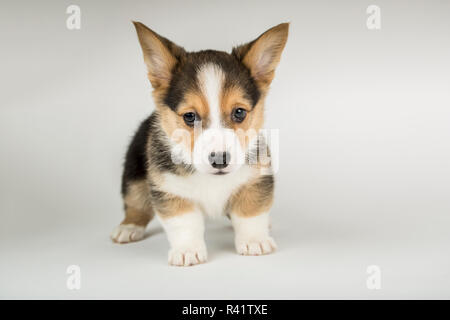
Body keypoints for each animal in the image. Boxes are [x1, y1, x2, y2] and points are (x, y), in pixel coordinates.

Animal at [110, 20, 290, 264]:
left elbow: (250, 212)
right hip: (133, 173)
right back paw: (128, 227)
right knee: (135, 202)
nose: (220, 160)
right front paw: (188, 251)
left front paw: (255, 241)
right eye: (189, 116)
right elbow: (184, 222)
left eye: (239, 112)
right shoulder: (170, 189)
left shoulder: (256, 179)